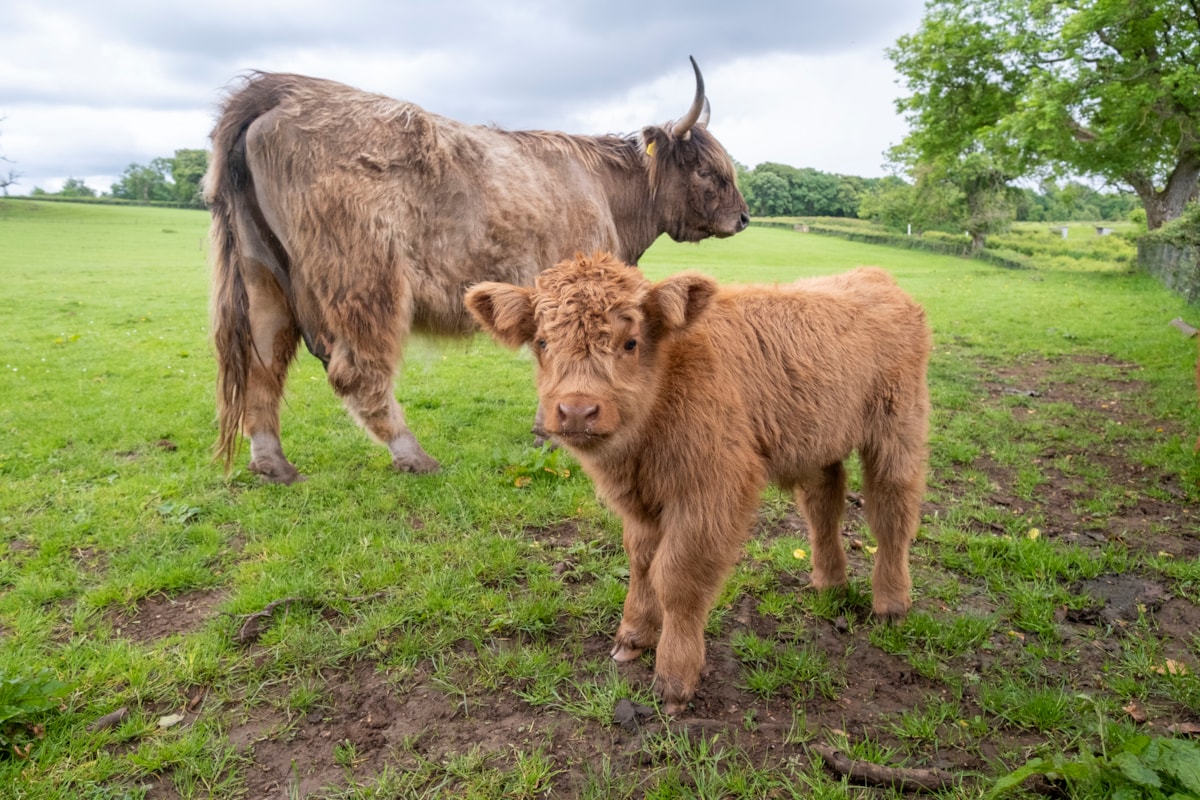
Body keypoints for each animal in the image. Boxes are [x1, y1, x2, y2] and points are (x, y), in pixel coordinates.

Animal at [204, 58, 749, 484]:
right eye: (706, 170)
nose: (743, 217)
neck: (606, 192)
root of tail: (281, 91)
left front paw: (546, 429)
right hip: (364, 278)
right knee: (357, 371)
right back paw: (414, 456)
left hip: (261, 274)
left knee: (264, 357)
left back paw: (273, 464)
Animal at [465, 252, 931, 713]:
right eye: (542, 343)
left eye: (630, 342)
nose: (577, 411)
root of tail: (874, 277)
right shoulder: (642, 503)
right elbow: (641, 561)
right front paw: (632, 636)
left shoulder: (711, 492)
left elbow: (677, 577)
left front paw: (674, 678)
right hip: (820, 441)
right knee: (824, 503)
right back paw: (829, 585)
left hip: (898, 431)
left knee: (891, 512)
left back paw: (891, 604)